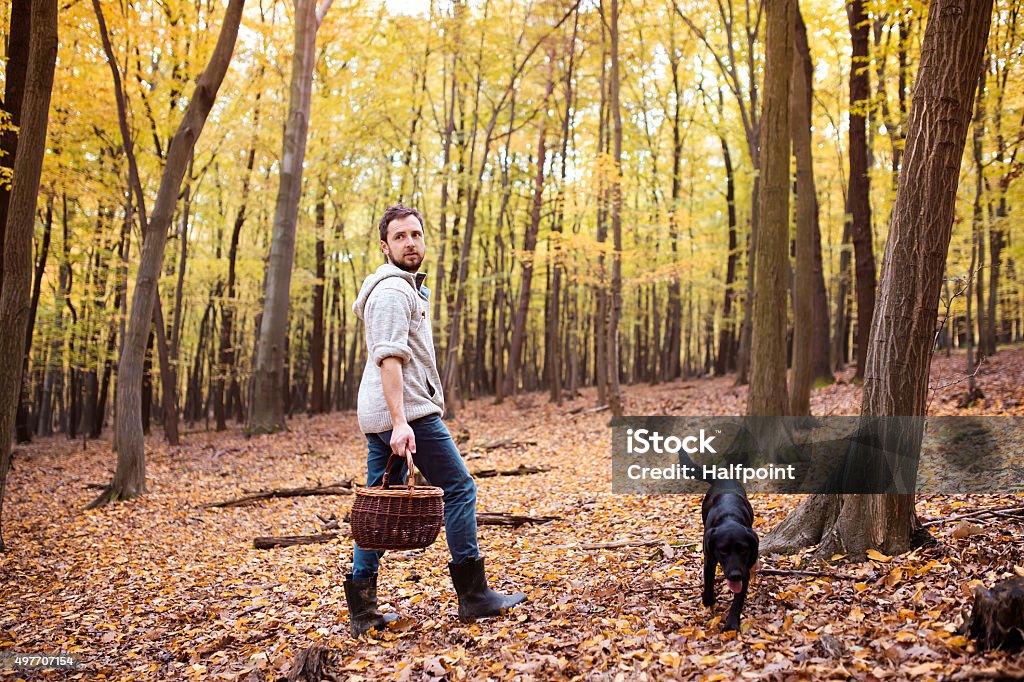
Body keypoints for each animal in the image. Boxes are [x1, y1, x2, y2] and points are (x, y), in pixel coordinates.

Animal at [700, 481, 757, 630]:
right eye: (723, 551)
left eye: (743, 550)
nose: (735, 575)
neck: (729, 518)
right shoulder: (709, 559)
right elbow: (709, 581)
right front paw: (708, 599)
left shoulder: (744, 570)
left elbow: (738, 600)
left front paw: (731, 625)